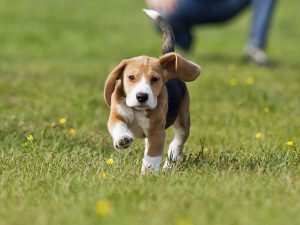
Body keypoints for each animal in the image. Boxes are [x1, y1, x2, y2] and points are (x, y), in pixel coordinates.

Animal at [103, 9, 202, 174]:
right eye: (131, 77)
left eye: (154, 79)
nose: (141, 96)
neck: (137, 110)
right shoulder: (117, 116)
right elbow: (118, 126)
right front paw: (122, 139)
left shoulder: (157, 132)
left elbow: (152, 155)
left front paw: (148, 174)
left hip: (183, 119)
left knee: (177, 143)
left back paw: (169, 165)